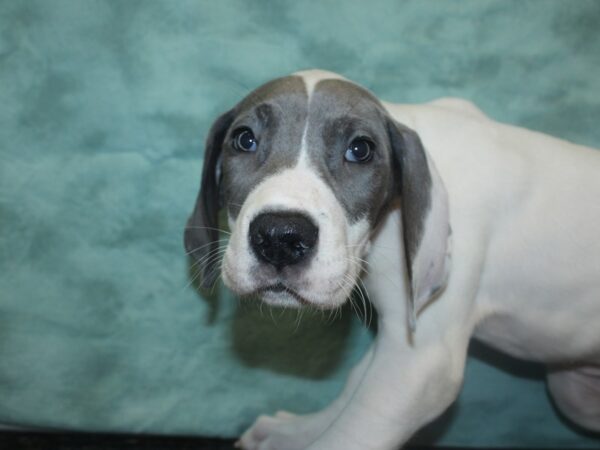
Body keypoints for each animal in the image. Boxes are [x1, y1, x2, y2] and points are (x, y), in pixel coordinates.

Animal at [184, 68, 600, 448]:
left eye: (360, 149)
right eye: (244, 139)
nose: (280, 238)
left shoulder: (422, 361)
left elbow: (350, 433)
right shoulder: (397, 335)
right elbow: (353, 387)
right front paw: (294, 434)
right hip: (572, 392)